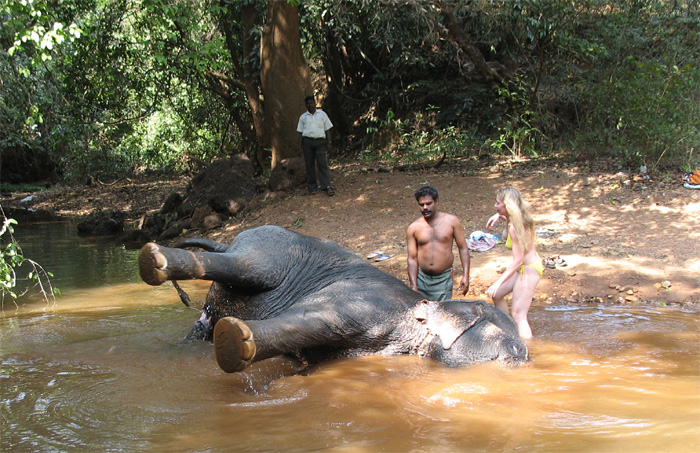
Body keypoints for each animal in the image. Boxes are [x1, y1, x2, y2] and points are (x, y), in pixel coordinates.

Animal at [137, 224, 528, 372]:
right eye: (506, 337)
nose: (524, 354)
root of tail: (228, 240)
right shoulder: (366, 301)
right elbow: (318, 318)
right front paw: (236, 341)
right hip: (272, 248)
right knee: (250, 266)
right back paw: (153, 260)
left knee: (200, 327)